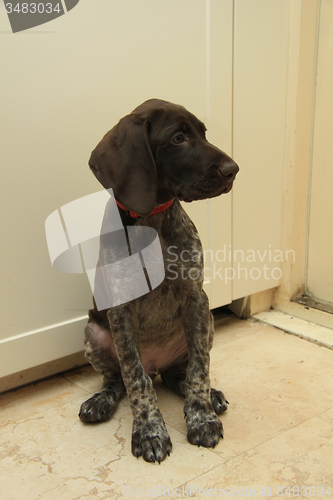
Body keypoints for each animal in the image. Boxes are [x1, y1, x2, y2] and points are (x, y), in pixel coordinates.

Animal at [79, 99, 237, 462]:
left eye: (203, 133)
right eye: (178, 138)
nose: (233, 169)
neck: (154, 220)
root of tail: (156, 364)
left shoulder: (196, 298)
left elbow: (199, 369)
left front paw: (201, 416)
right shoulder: (121, 311)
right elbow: (136, 380)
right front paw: (150, 430)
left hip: (206, 323)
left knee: (178, 374)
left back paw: (210, 395)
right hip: (93, 333)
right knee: (121, 378)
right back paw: (101, 401)